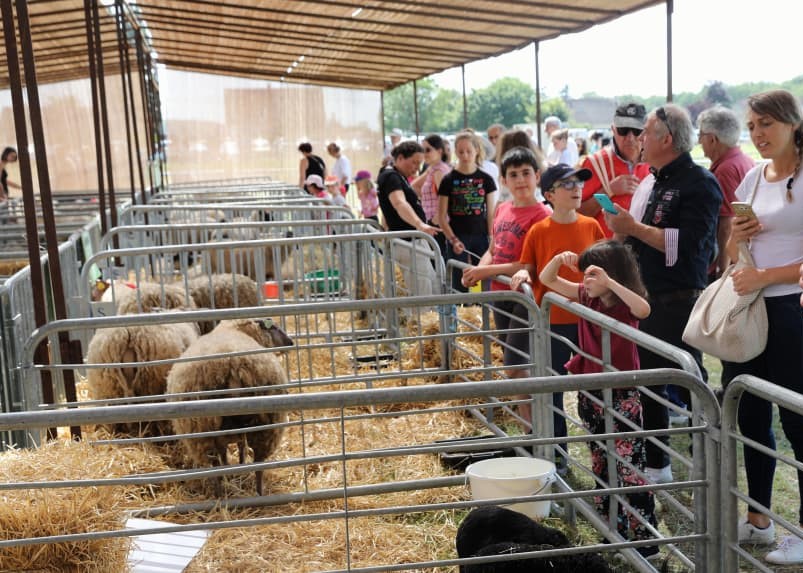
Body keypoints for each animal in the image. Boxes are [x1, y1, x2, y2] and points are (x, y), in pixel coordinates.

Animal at [168, 320, 294, 494]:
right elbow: (239, 448)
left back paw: (221, 492)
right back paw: (256, 491)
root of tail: (233, 364)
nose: (291, 342)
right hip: (265, 426)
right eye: (274, 326)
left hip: (204, 430)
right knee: (257, 462)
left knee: (216, 464)